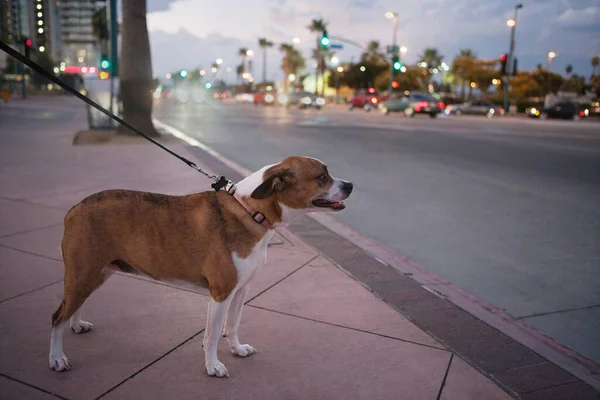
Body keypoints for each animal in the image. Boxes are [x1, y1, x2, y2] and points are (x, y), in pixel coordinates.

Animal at [51, 155, 354, 378]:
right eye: (322, 177)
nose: (350, 185)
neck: (250, 210)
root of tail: (75, 208)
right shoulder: (221, 293)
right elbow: (212, 335)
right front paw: (212, 366)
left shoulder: (241, 291)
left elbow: (232, 325)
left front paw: (237, 348)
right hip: (84, 274)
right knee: (57, 317)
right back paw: (57, 357)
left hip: (95, 274)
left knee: (73, 305)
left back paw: (76, 325)